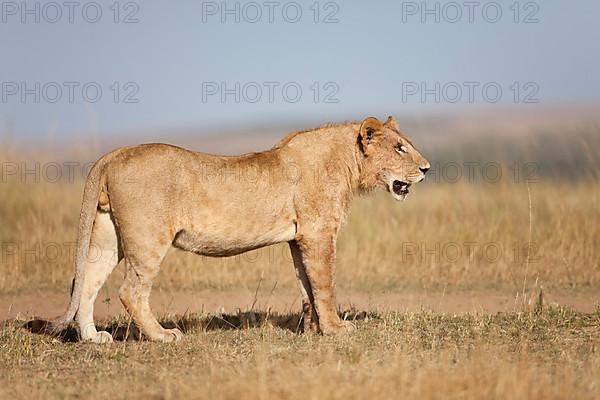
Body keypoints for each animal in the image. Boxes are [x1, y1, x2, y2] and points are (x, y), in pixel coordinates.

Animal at [49, 116, 428, 344]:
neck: (348, 163)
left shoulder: (299, 238)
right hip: (148, 237)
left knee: (85, 282)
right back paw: (163, 336)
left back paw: (93, 339)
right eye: (399, 148)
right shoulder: (319, 232)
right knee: (130, 291)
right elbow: (325, 285)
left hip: (107, 234)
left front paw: (311, 330)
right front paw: (336, 329)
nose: (426, 169)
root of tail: (114, 153)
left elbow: (306, 286)